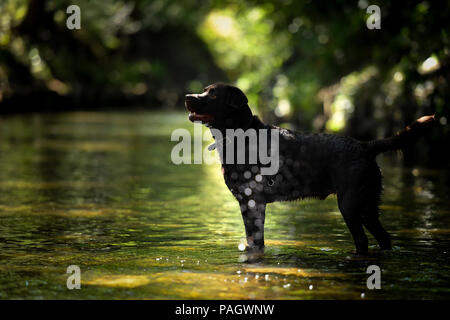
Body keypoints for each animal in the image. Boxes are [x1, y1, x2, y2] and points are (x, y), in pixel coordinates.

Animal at [185, 83, 434, 255]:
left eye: (213, 94)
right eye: (204, 90)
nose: (187, 96)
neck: (241, 135)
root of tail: (364, 146)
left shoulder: (252, 202)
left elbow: (255, 241)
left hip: (350, 204)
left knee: (362, 240)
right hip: (368, 206)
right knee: (384, 238)